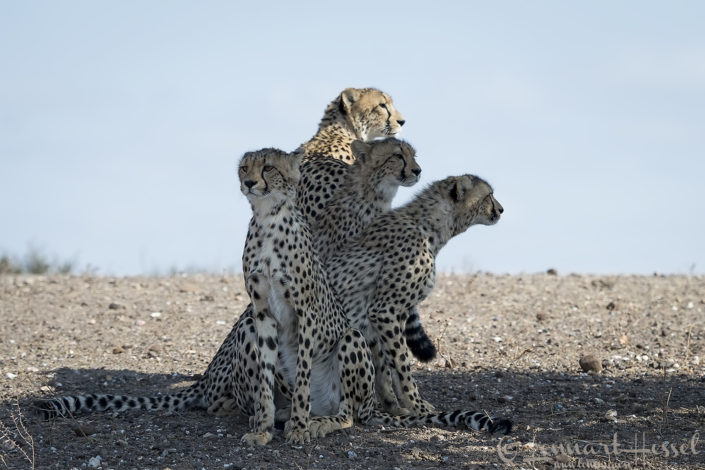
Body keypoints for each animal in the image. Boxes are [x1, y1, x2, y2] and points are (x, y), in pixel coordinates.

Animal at [326, 174, 505, 416]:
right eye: (488, 195)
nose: (501, 209)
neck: (430, 227)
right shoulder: (384, 311)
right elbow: (402, 363)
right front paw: (416, 405)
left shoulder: (384, 318)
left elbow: (387, 365)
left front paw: (396, 405)